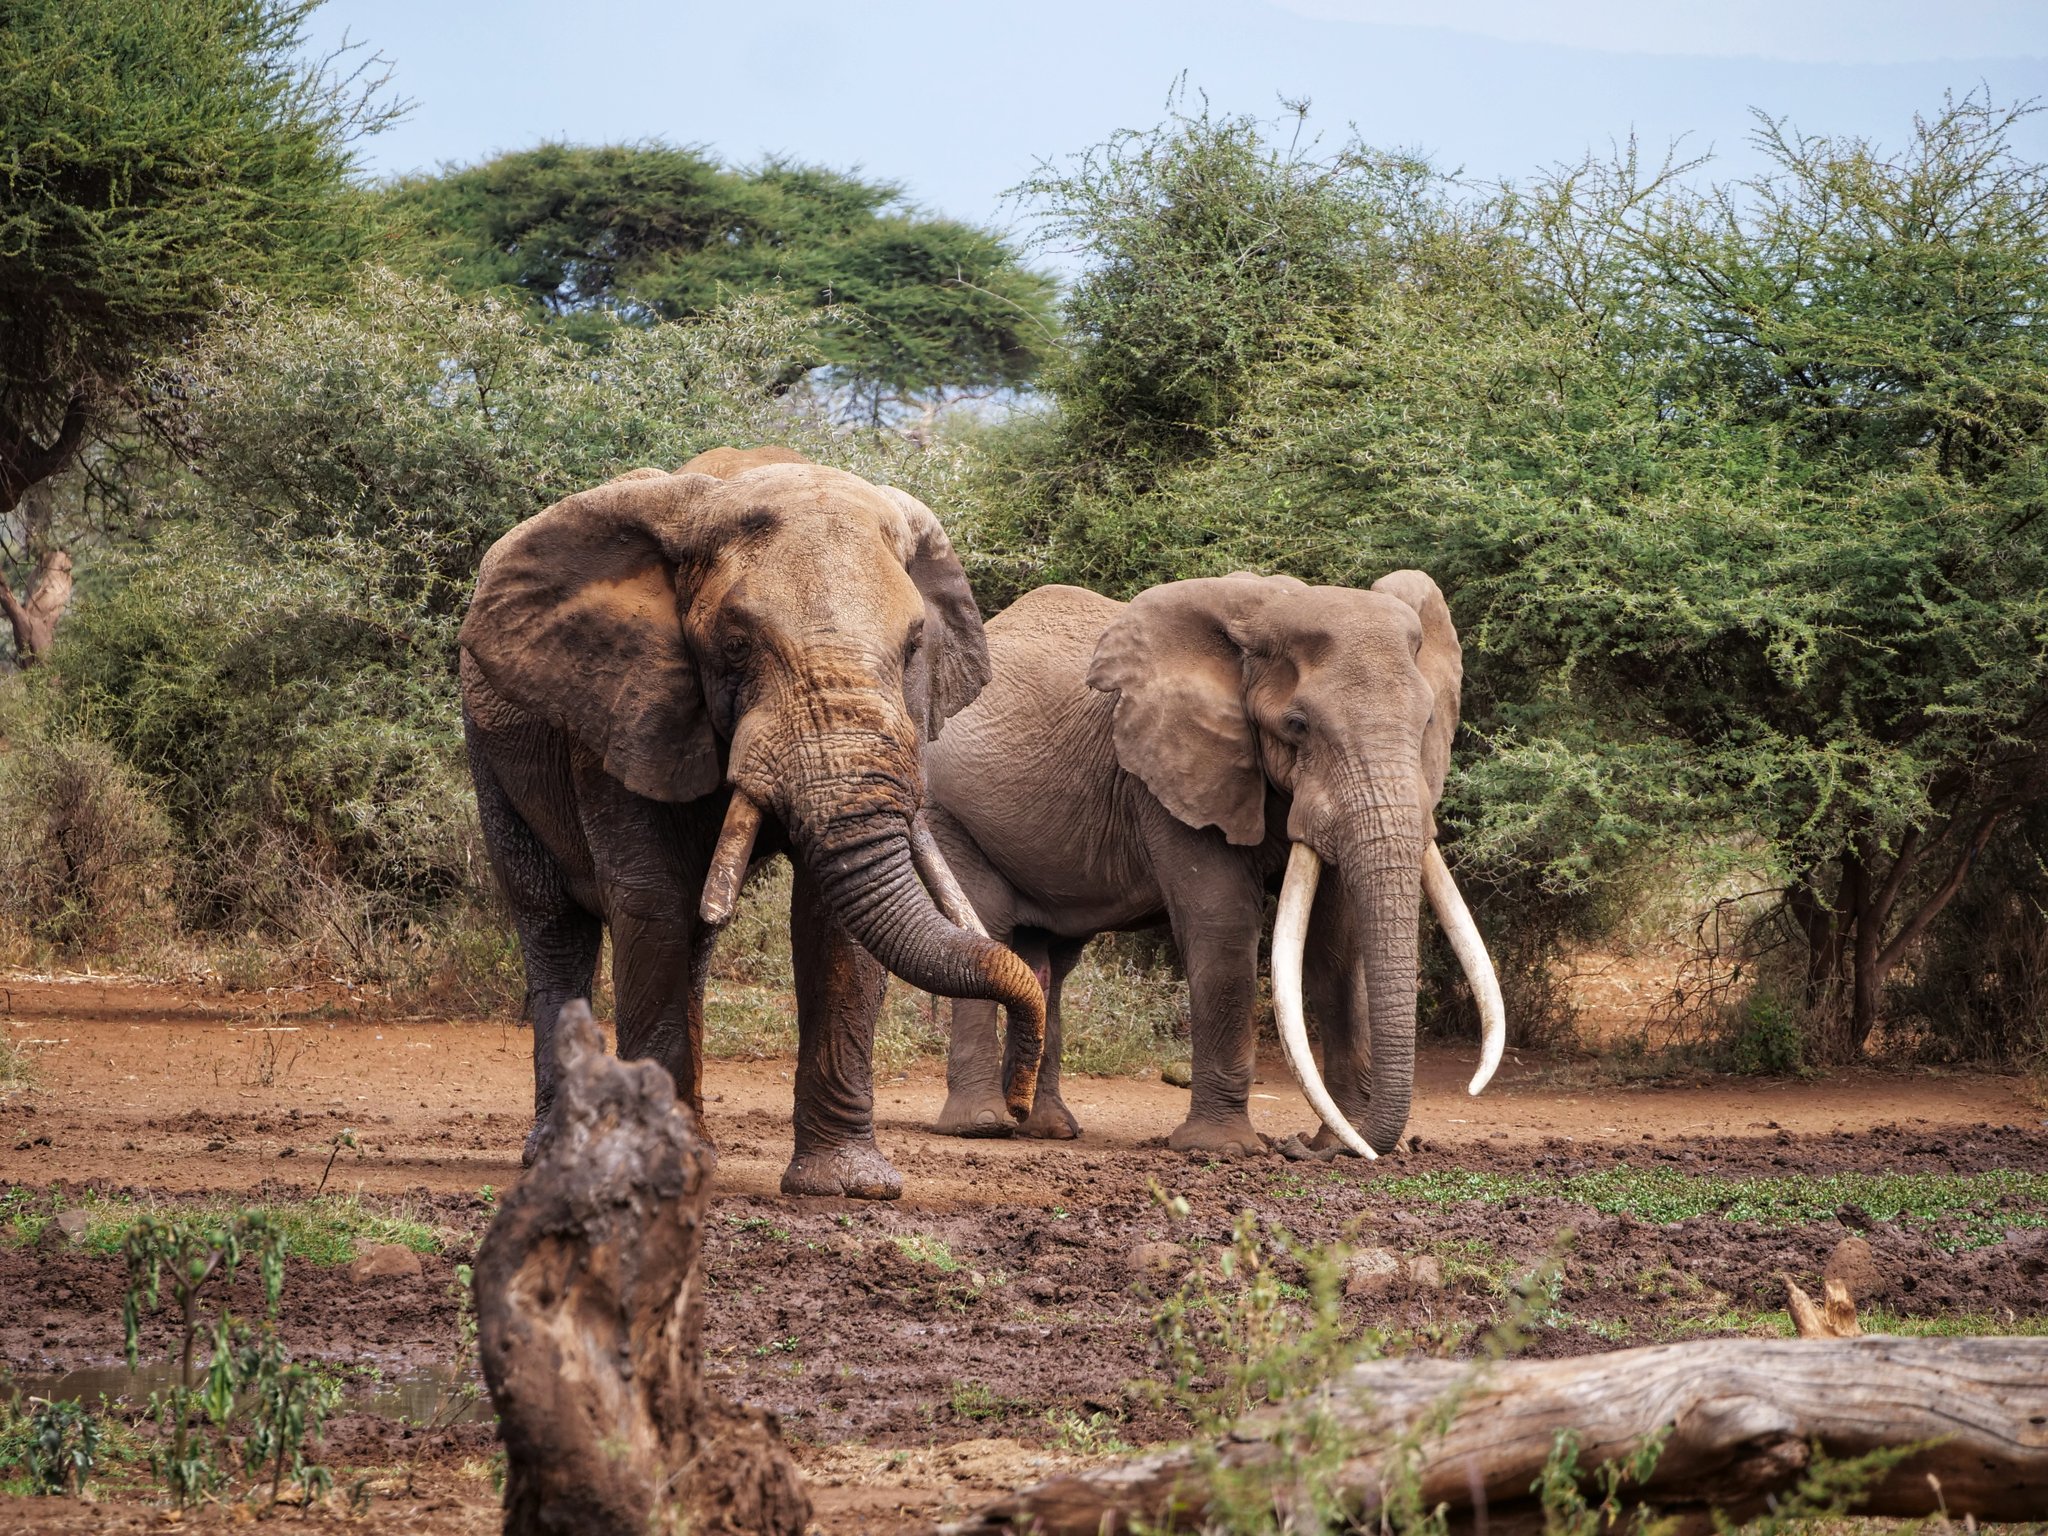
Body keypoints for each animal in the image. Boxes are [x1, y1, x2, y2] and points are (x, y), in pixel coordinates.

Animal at [459, 445, 1045, 1199]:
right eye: (735, 645)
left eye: (916, 645)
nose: (1019, 1107)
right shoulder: (625, 706)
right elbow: (652, 900)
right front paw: (657, 1175)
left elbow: (833, 925)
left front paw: (849, 1184)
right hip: (489, 746)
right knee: (552, 923)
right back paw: (558, 1154)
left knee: (697, 939)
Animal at [920, 572, 1505, 1157]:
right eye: (1297, 725)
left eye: (1427, 721)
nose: (1297, 1146)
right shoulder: (1171, 772)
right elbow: (1222, 924)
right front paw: (1223, 1149)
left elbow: (1335, 943)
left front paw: (1344, 1143)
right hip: (946, 811)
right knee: (990, 927)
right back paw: (982, 1124)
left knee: (1050, 962)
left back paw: (1046, 1127)